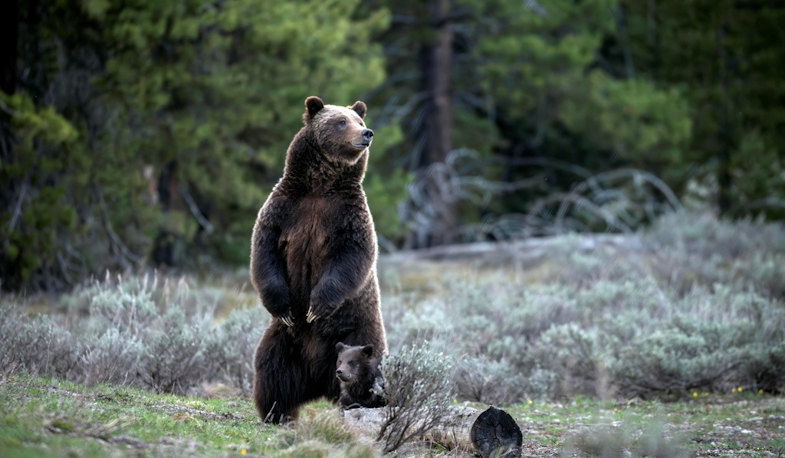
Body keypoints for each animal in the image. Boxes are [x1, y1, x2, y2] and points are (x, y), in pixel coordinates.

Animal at [251, 95, 386, 422]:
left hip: (359, 332)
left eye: (359, 120)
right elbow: (265, 252)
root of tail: (318, 380)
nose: (367, 133)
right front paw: (284, 306)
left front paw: (317, 306)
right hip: (286, 341)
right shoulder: (285, 208)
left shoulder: (348, 216)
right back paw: (277, 412)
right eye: (341, 121)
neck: (320, 186)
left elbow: (351, 257)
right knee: (272, 370)